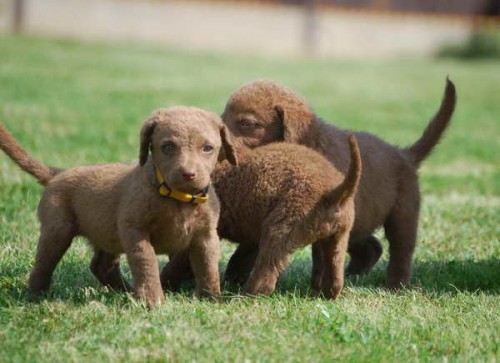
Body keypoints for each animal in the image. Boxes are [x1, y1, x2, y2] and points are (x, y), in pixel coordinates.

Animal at [0, 107, 238, 308]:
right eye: (168, 147)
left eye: (207, 148)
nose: (189, 174)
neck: (179, 198)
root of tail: (58, 173)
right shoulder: (135, 230)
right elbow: (146, 263)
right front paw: (152, 300)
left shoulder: (206, 236)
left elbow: (208, 268)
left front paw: (210, 299)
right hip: (57, 231)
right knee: (43, 265)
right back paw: (34, 297)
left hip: (106, 234)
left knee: (101, 266)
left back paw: (125, 291)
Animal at [162, 135, 362, 300]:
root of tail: (332, 194)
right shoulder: (251, 236)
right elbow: (238, 260)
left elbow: (179, 262)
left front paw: (166, 284)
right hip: (337, 238)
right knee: (335, 275)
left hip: (280, 230)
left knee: (265, 278)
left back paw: (242, 296)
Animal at [221, 79, 456, 290]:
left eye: (247, 124)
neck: (312, 141)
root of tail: (405, 154)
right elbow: (247, 249)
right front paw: (233, 277)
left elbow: (315, 256)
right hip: (358, 217)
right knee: (371, 246)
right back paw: (353, 275)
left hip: (403, 212)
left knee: (401, 251)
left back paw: (396, 285)